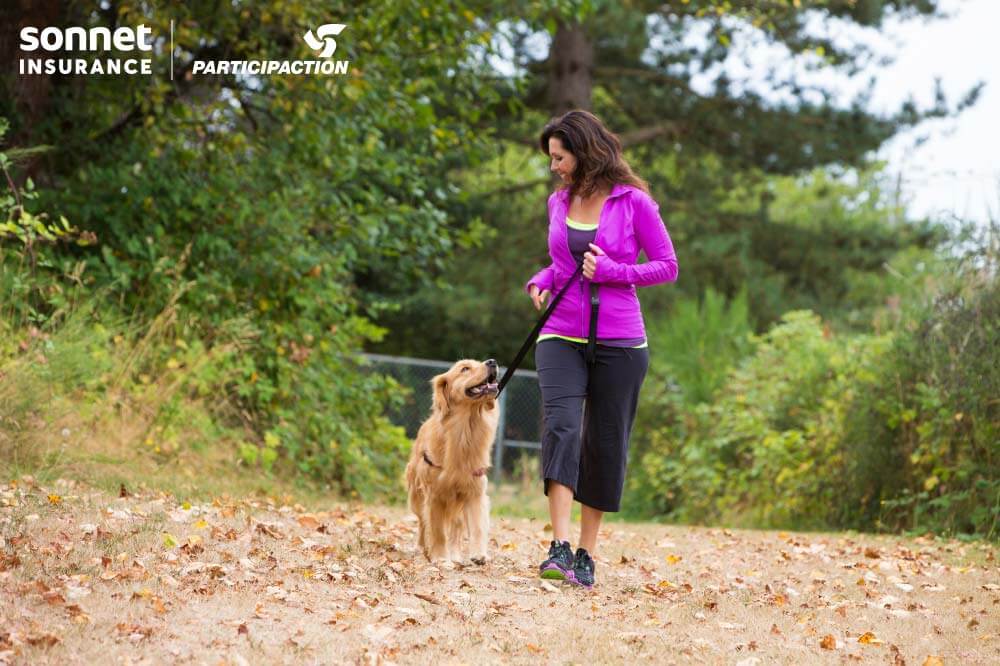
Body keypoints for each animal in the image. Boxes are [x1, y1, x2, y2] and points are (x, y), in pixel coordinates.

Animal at [406, 356, 500, 564]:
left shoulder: (474, 492)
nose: (492, 361)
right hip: (417, 498)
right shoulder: (434, 496)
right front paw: (440, 557)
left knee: (456, 528)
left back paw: (455, 555)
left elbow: (477, 527)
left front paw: (478, 554)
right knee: (422, 523)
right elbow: (437, 531)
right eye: (465, 368)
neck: (465, 430)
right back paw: (421, 548)